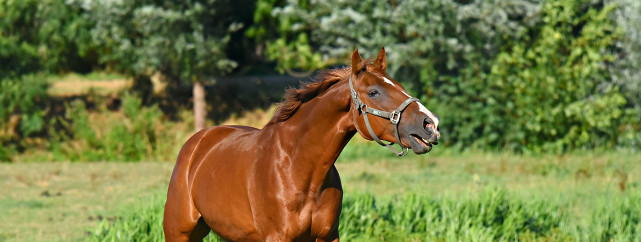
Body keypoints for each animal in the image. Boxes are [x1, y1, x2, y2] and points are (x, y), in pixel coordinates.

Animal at [162, 48, 438, 241]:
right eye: (374, 92)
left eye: (400, 86)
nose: (430, 124)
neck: (299, 169)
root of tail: (198, 142)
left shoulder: (328, 236)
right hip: (179, 233)